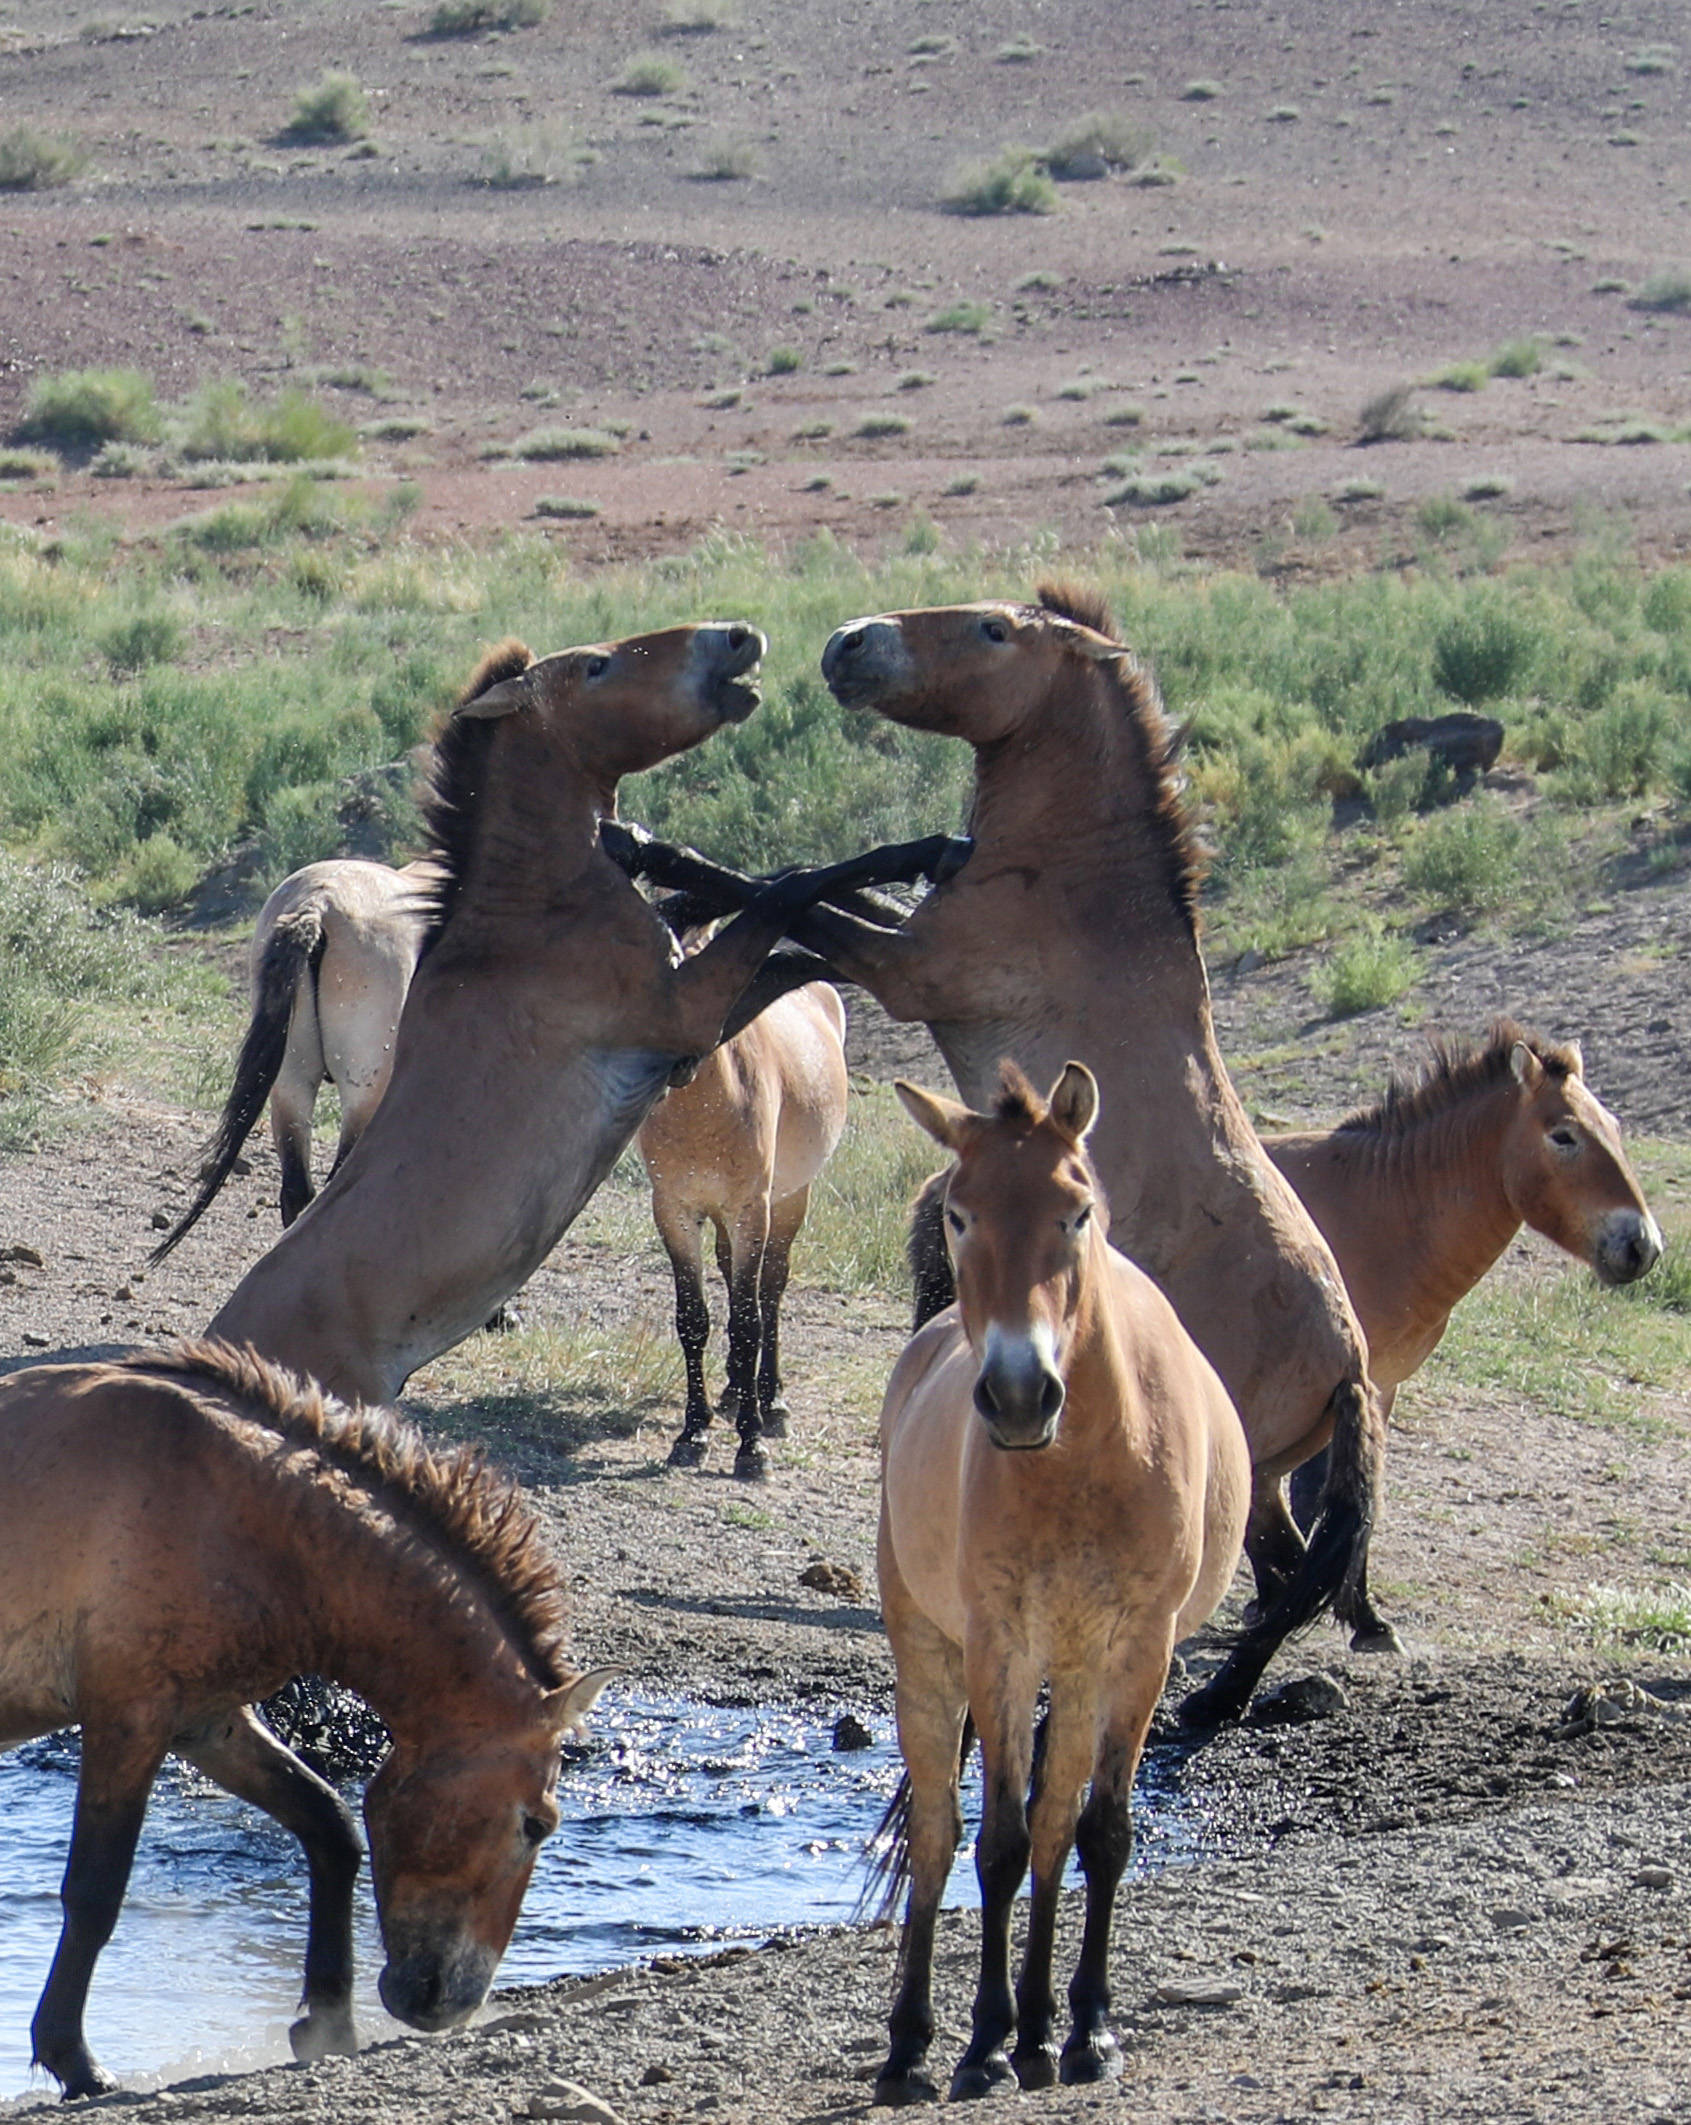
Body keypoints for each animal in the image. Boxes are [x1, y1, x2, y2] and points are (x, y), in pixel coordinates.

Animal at [0, 1334, 616, 2099]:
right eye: (535, 1824)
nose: (448, 2003)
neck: (231, 1503)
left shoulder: (207, 1722)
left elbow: (332, 1828)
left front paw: (328, 2023)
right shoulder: (128, 1718)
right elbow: (94, 1892)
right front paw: (74, 2060)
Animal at [193, 620, 955, 1411]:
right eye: (597, 666)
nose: (739, 637)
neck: (534, 915)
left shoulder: (687, 1034)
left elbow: (786, 922)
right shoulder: (687, 1010)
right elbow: (791, 895)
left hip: (296, 1087)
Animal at [879, 1071, 1249, 2099]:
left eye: (1075, 1211)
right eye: (959, 1214)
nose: (1017, 1395)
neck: (1087, 1455)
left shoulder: (1138, 1650)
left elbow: (1097, 1832)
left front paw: (1085, 2030)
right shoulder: (1000, 1645)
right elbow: (995, 1842)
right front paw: (981, 2043)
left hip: (1078, 1670)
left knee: (1053, 1825)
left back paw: (1042, 2030)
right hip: (929, 1650)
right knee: (938, 1832)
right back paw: (910, 2045)